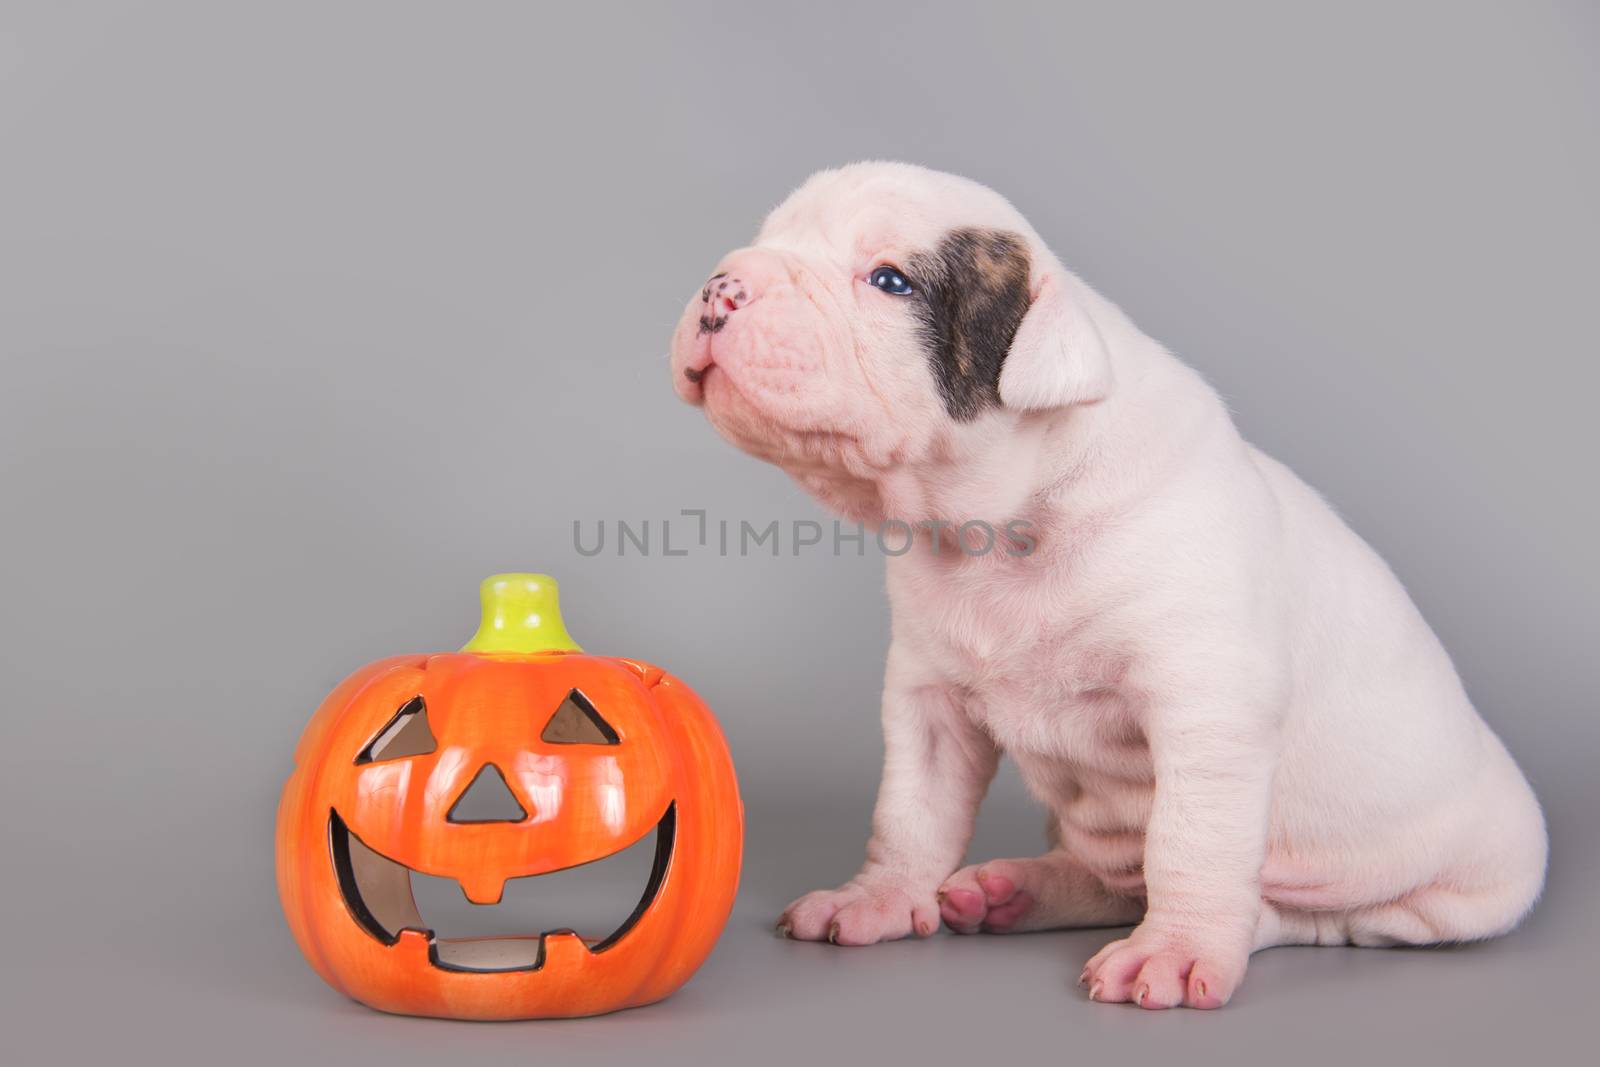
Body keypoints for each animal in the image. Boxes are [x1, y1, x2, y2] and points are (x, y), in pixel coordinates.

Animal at [662, 164, 1536, 1011]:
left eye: (889, 280)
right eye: (766, 237)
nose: (722, 285)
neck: (1002, 524)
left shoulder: (1207, 706)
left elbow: (1191, 838)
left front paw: (1178, 950)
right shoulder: (926, 696)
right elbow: (912, 810)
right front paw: (877, 898)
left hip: (1454, 888)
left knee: (1303, 916)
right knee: (1116, 878)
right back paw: (1015, 890)